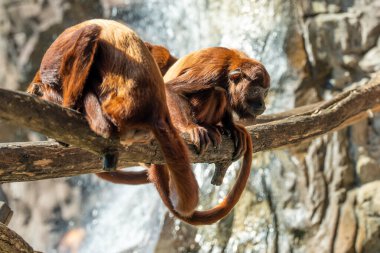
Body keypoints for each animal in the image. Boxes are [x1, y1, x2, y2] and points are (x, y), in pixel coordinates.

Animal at [26, 19, 199, 217]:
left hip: (116, 108)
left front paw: (68, 106)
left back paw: (99, 124)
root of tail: (156, 112)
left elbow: (89, 33)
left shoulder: (52, 61)